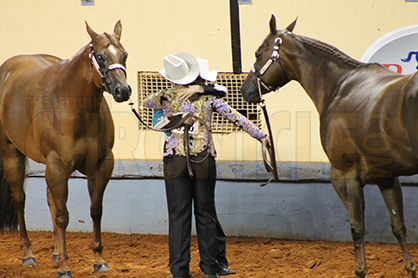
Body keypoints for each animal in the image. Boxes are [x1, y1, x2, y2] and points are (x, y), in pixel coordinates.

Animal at [0, 20, 131, 276]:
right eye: (100, 56)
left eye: (125, 54)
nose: (123, 90)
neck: (75, 107)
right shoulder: (58, 167)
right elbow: (62, 217)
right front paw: (64, 267)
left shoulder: (101, 165)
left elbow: (96, 210)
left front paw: (99, 260)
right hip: (12, 155)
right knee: (20, 200)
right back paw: (28, 255)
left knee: (50, 199)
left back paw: (54, 252)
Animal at [242, 15, 418, 278]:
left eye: (257, 53)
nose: (245, 90)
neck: (340, 87)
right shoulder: (386, 177)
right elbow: (398, 226)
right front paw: (410, 268)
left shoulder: (345, 175)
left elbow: (357, 227)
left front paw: (360, 270)